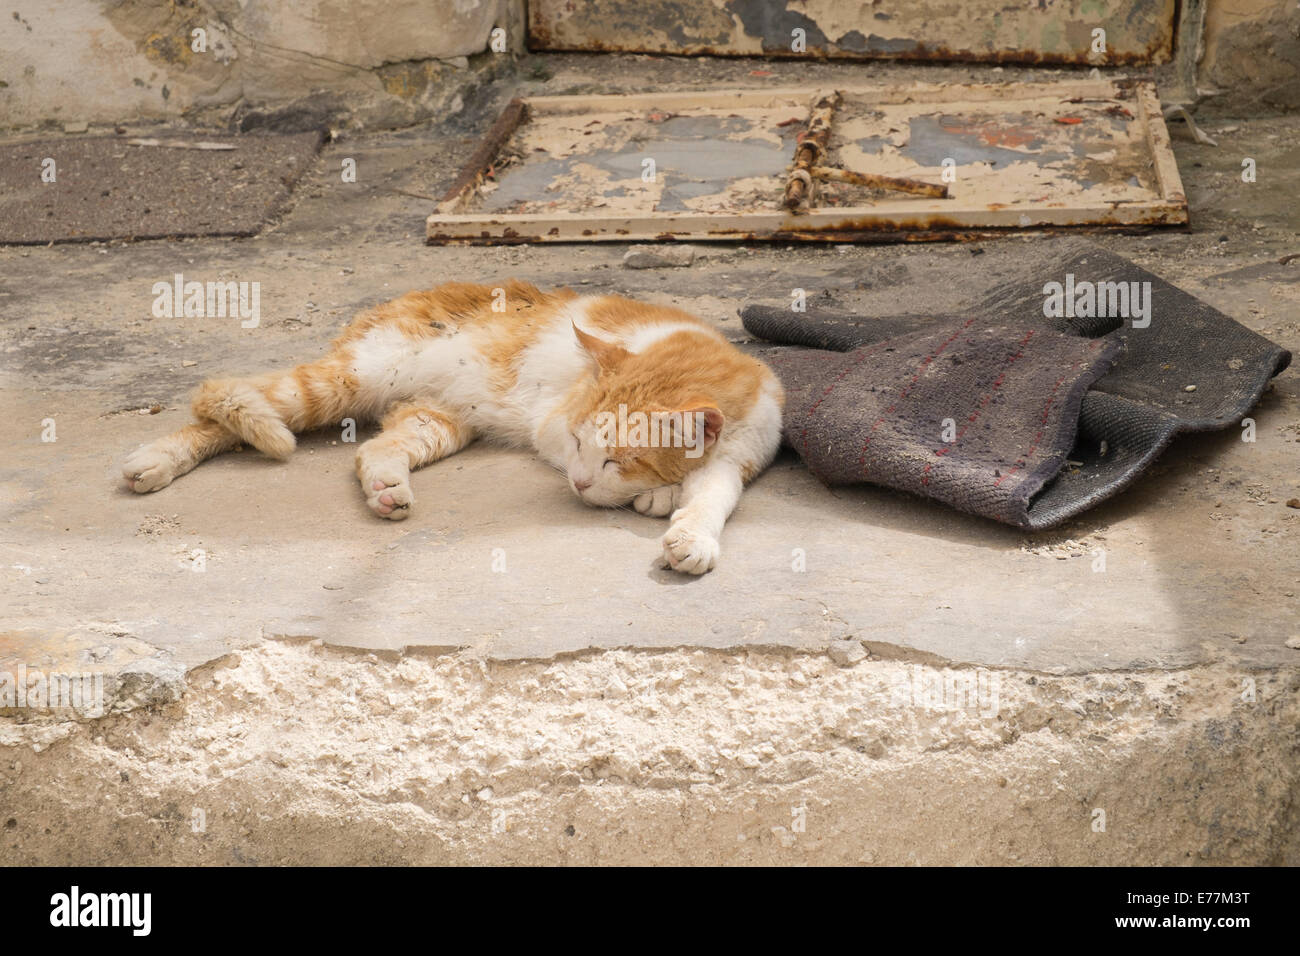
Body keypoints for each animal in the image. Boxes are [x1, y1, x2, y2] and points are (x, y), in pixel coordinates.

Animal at [124, 280, 780, 572]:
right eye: (578, 443)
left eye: (620, 459)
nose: (578, 485)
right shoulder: (550, 426)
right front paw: (660, 496)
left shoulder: (741, 454)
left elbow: (714, 495)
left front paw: (688, 529)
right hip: (337, 384)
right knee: (220, 400)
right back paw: (152, 460)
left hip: (436, 421)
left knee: (370, 451)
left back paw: (387, 489)